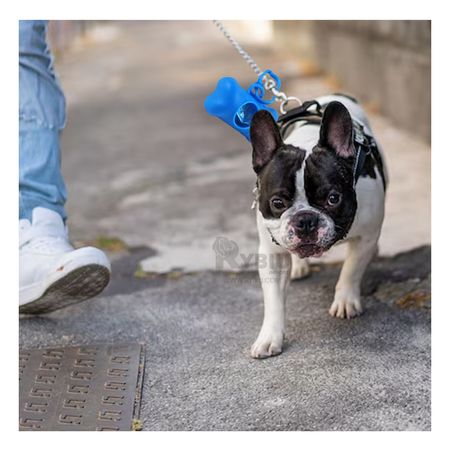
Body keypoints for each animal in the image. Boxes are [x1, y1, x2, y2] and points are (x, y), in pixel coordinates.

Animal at [250, 94, 386, 358]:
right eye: (277, 203)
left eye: (333, 198)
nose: (305, 220)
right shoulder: (271, 253)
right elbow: (273, 300)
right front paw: (269, 336)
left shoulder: (366, 236)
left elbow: (351, 269)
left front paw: (345, 301)